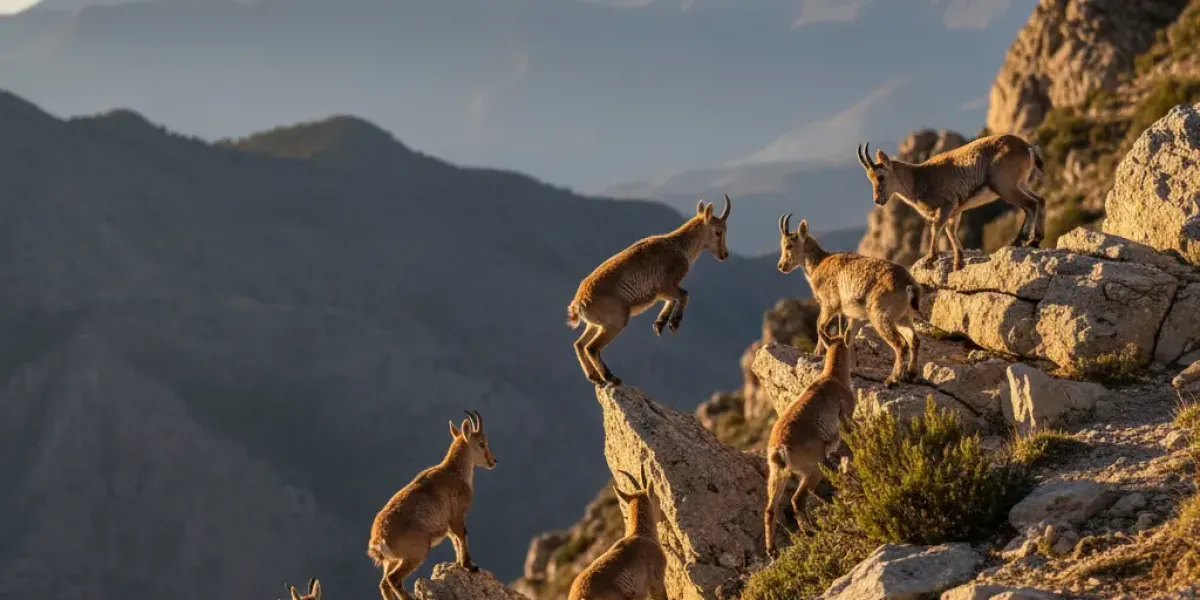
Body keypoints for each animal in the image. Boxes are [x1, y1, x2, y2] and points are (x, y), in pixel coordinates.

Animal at [368, 410, 497, 600]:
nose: (493, 461)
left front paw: (459, 563)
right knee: (393, 579)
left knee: (384, 583)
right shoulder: (456, 515)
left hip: (392, 560)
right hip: (417, 551)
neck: (455, 472)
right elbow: (462, 536)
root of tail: (378, 541)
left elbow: (455, 540)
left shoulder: (448, 523)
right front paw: (469, 565)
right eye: (482, 444)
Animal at [567, 195, 732, 386]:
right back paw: (610, 377)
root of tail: (578, 303)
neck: (680, 246)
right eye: (718, 231)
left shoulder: (662, 292)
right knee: (591, 347)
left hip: (595, 324)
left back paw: (594, 376)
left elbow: (673, 299)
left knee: (579, 344)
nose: (724, 255)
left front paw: (659, 324)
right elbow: (684, 295)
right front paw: (673, 324)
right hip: (616, 321)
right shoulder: (665, 285)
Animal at [763, 337, 856, 558]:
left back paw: (773, 550)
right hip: (811, 468)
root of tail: (780, 450)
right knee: (798, 499)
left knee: (770, 509)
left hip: (778, 474)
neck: (833, 376)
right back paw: (812, 531)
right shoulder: (846, 416)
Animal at [777, 214, 921, 386]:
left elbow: (820, 325)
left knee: (900, 345)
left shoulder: (830, 304)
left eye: (789, 245)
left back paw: (892, 379)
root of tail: (908, 285)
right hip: (903, 317)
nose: (781, 266)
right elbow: (847, 335)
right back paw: (911, 374)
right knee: (914, 340)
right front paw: (851, 365)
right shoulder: (853, 315)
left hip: (880, 316)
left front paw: (817, 352)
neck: (818, 264)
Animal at [857, 134, 1046, 271]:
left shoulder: (946, 206)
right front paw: (958, 262)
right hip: (1020, 183)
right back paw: (1035, 240)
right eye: (869, 178)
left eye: (880, 177)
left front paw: (930, 259)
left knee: (1030, 205)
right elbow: (951, 231)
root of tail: (1027, 147)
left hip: (1005, 186)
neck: (918, 179)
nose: (878, 200)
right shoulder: (956, 211)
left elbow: (936, 228)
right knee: (1040, 200)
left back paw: (1020, 240)